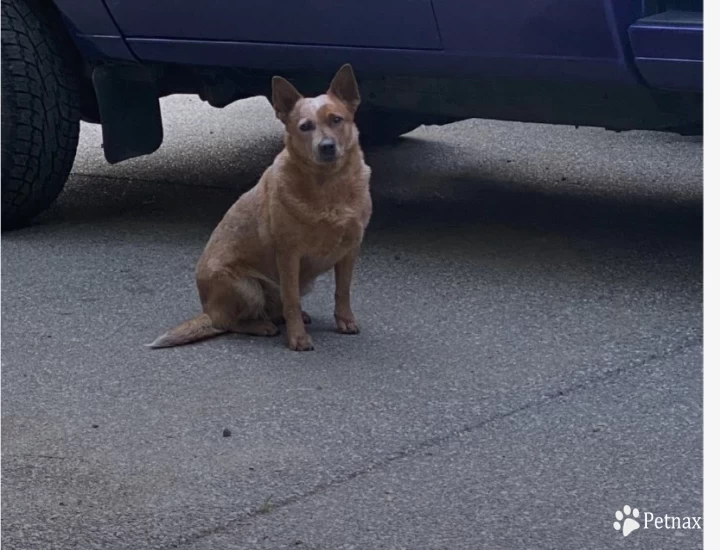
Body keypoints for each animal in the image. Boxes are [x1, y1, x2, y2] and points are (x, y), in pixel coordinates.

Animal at [147, 64, 372, 354]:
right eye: (305, 126)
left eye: (336, 120)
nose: (326, 147)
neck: (328, 187)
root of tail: (208, 311)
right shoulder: (289, 254)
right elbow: (292, 300)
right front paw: (297, 338)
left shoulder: (350, 249)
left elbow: (342, 291)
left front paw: (345, 320)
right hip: (247, 287)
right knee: (231, 323)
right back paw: (262, 326)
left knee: (271, 310)